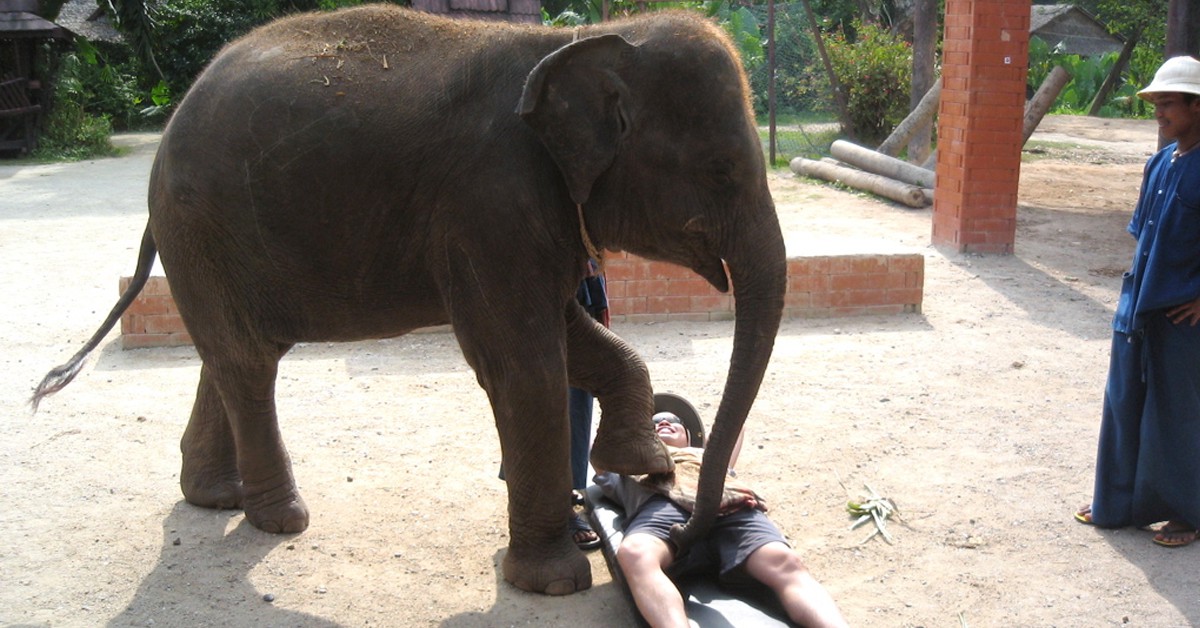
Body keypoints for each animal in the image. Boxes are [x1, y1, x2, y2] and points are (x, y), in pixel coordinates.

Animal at [31, 5, 787, 596]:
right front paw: (555, 582)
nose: (686, 530)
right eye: (722, 170)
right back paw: (279, 519)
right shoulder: (489, 201)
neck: (583, 39)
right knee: (248, 361)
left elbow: (578, 338)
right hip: (202, 219)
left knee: (232, 351)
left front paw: (635, 459)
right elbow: (522, 362)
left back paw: (215, 497)